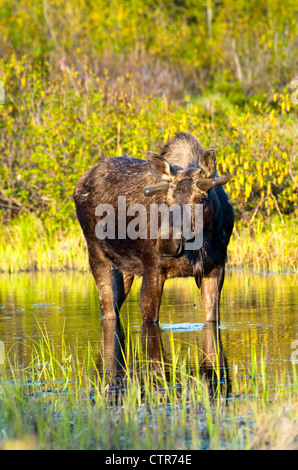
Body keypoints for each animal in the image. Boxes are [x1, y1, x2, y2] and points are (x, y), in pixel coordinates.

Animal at [73, 132, 234, 324]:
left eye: (201, 199)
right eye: (167, 200)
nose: (167, 242)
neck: (199, 246)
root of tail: (77, 185)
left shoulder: (216, 266)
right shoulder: (152, 269)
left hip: (124, 268)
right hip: (96, 253)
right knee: (107, 308)